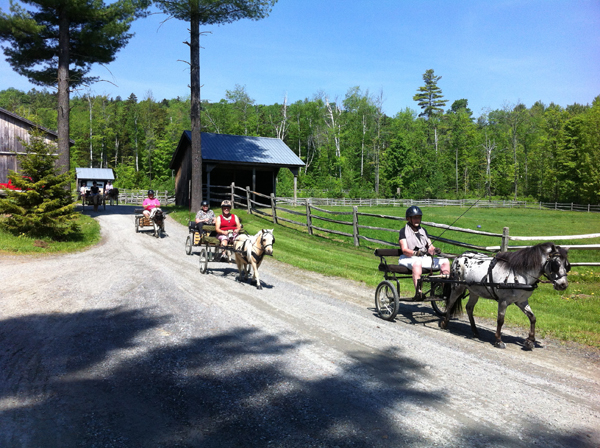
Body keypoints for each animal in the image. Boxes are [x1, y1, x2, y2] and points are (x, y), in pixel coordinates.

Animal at [438, 242, 568, 350]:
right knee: (450, 303)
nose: (563, 285)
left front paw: (530, 341)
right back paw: (445, 323)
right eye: (555, 264)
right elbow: (500, 320)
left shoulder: (522, 301)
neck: (520, 274)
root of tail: (459, 256)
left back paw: (475, 331)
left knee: (469, 308)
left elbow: (532, 318)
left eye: (567, 265)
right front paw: (498, 341)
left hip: (474, 291)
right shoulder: (503, 301)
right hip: (457, 286)